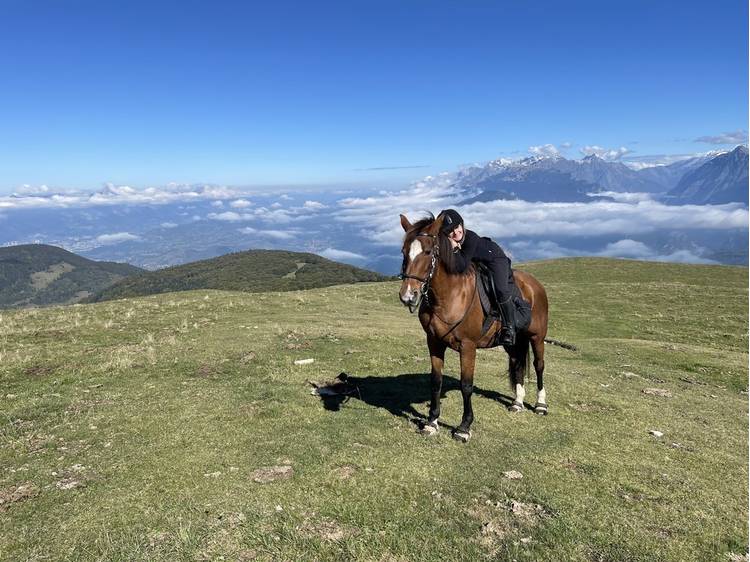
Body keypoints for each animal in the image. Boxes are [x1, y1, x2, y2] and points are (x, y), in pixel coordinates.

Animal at [400, 212, 552, 440]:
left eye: (427, 252)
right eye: (404, 252)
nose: (408, 296)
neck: (449, 295)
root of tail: (535, 285)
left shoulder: (468, 347)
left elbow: (466, 385)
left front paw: (464, 427)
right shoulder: (434, 343)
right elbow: (436, 382)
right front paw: (432, 422)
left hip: (537, 337)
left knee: (539, 365)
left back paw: (540, 404)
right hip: (513, 341)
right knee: (517, 363)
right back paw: (517, 403)